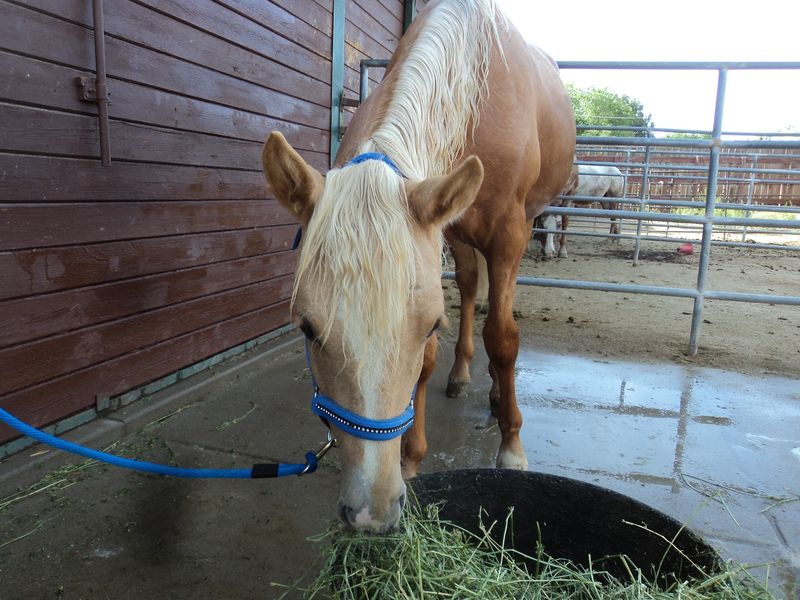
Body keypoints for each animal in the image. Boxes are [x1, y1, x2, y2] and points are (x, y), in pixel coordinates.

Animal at [261, 0, 575, 532]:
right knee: (469, 288)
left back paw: (498, 397)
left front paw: (512, 447)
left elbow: (503, 337)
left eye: (430, 323)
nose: (371, 511)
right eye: (307, 329)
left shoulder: (510, 233)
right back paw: (465, 375)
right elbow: (429, 359)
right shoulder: (441, 235)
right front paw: (411, 457)